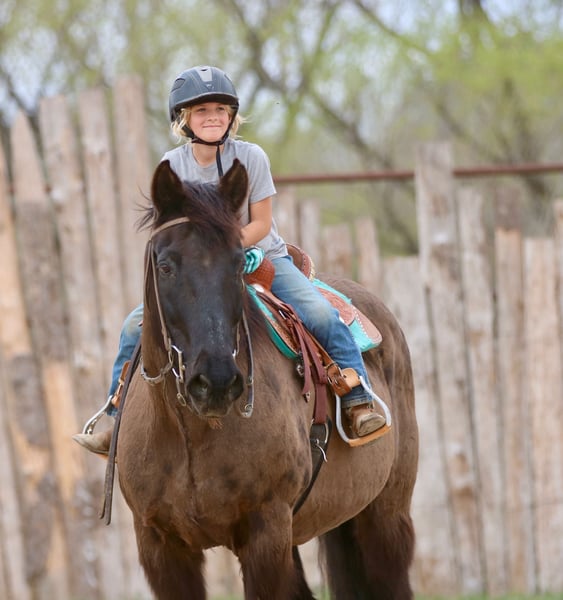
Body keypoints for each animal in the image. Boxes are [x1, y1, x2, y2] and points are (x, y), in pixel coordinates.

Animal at [116, 158, 418, 600]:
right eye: (166, 265)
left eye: (237, 263)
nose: (216, 382)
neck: (191, 434)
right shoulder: (160, 547)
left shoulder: (266, 535)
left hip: (384, 516)